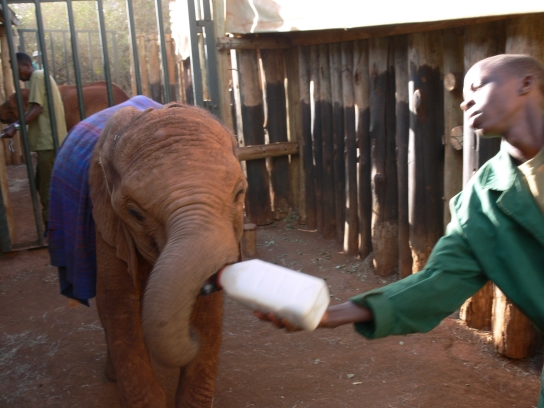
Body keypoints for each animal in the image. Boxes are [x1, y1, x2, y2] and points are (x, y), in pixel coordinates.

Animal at [49, 96, 246, 407]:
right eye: (134, 213)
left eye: (239, 193)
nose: (189, 335)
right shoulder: (106, 224)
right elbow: (117, 304)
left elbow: (209, 311)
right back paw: (112, 375)